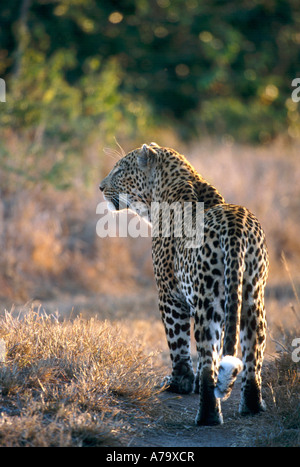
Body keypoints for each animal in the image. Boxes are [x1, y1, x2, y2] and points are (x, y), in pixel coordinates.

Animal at [99, 144, 270, 428]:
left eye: (120, 170)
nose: (100, 187)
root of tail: (234, 228)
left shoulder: (169, 294)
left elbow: (177, 343)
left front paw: (179, 383)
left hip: (207, 303)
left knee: (208, 360)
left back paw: (208, 416)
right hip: (251, 299)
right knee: (252, 357)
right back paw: (252, 406)